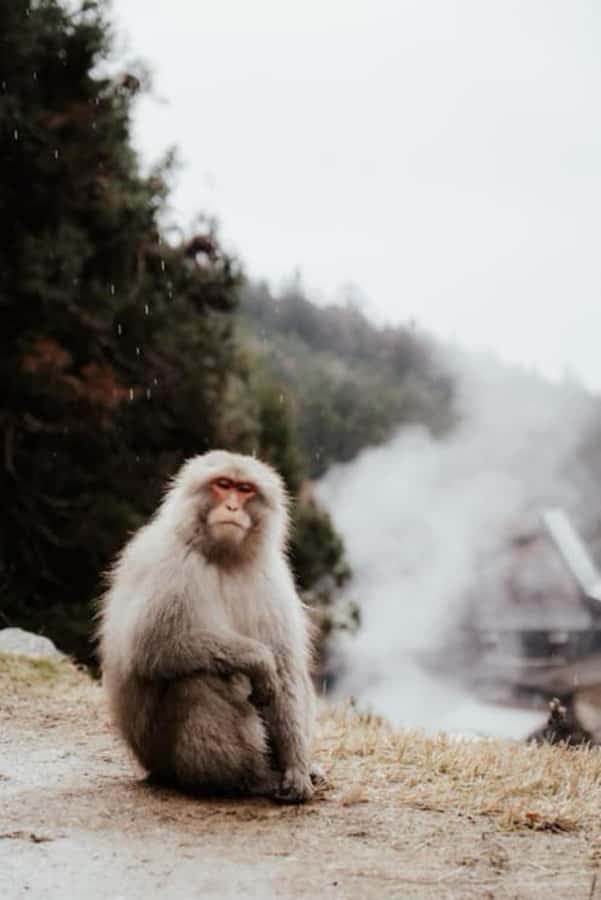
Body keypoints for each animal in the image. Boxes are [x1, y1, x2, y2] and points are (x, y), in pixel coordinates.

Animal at [98, 450, 323, 803]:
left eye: (245, 489)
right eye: (223, 485)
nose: (231, 507)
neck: (223, 556)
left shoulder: (272, 579)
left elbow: (286, 670)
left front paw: (297, 768)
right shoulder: (169, 564)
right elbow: (151, 645)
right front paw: (259, 661)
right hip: (160, 754)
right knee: (201, 678)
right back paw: (248, 778)